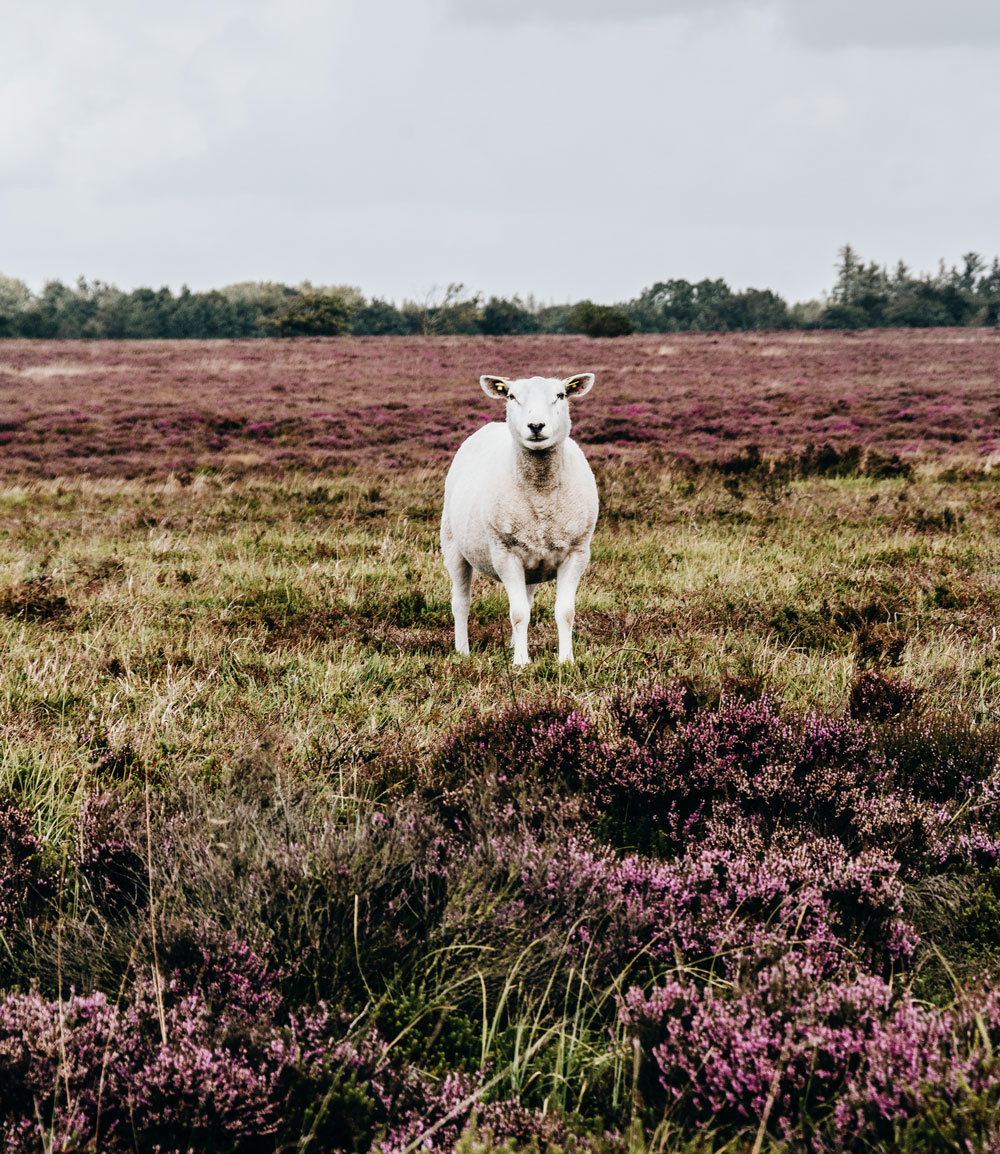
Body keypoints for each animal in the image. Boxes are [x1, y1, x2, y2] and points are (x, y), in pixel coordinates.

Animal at [442, 373, 599, 664]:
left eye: (561, 395)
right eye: (512, 396)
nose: (536, 425)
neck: (541, 496)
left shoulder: (577, 552)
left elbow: (564, 612)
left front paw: (566, 660)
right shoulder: (505, 553)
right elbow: (517, 614)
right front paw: (522, 663)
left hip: (532, 563)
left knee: (526, 601)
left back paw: (514, 645)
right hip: (452, 544)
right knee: (461, 602)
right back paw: (462, 651)